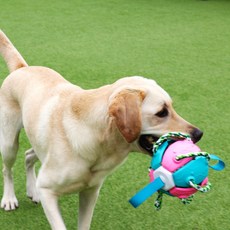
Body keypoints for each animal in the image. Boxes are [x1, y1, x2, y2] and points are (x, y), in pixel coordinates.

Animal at [0, 29, 202, 229]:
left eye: (171, 107)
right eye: (161, 112)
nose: (199, 134)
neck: (97, 140)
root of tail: (22, 68)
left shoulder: (90, 192)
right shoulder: (48, 190)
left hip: (39, 145)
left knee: (28, 156)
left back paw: (32, 191)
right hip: (9, 144)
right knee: (8, 169)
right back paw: (9, 198)